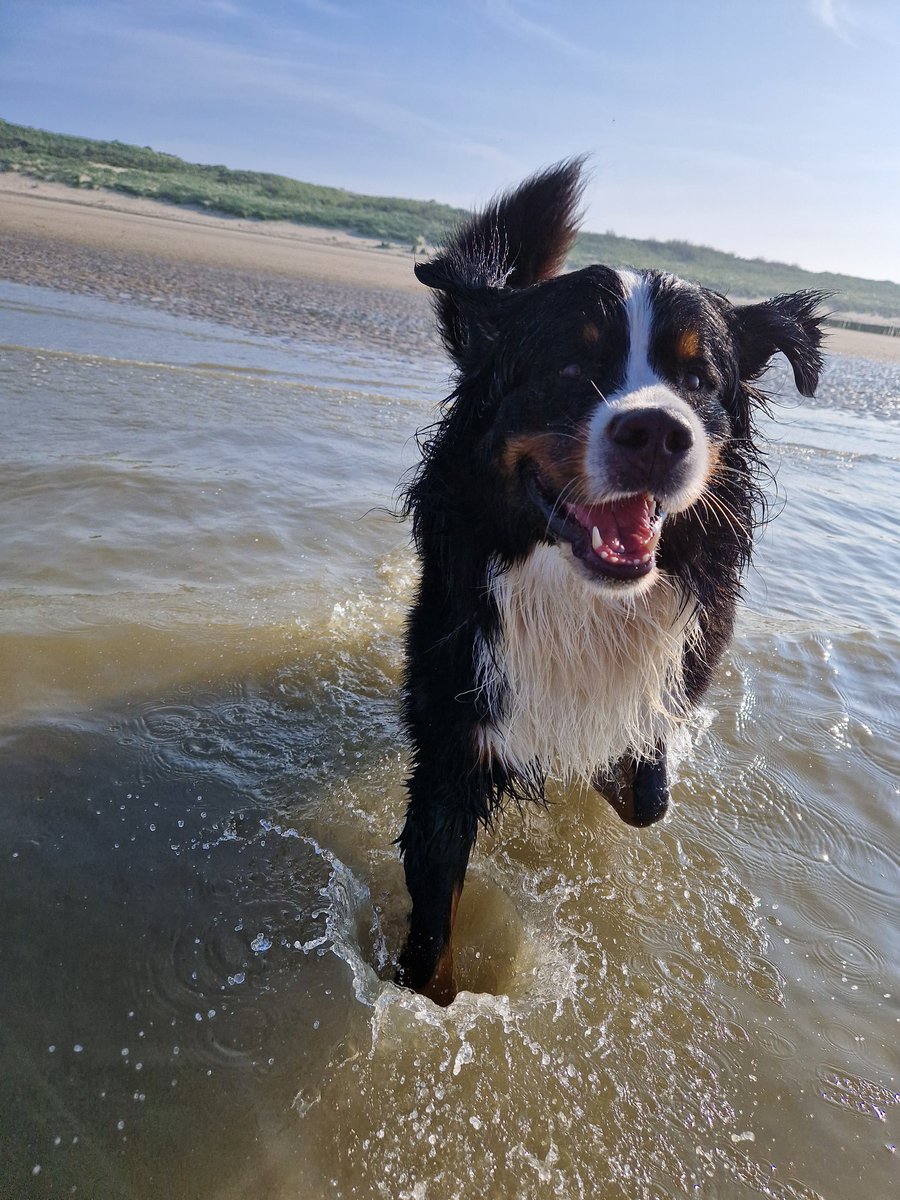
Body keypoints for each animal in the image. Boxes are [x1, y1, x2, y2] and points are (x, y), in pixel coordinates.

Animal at [393, 159, 825, 1003]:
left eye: (696, 378)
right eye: (570, 366)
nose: (656, 432)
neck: (581, 597)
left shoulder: (673, 676)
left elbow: (644, 792)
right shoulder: (456, 732)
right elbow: (433, 936)